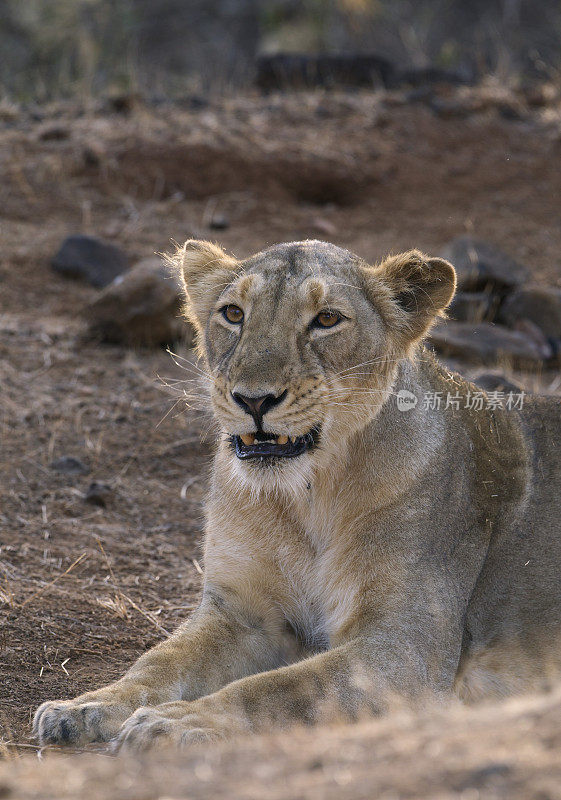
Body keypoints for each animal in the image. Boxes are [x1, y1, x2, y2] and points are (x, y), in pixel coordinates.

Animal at [32, 238, 560, 752]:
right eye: (233, 313)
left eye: (326, 319)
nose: (254, 400)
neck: (308, 496)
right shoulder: (241, 612)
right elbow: (160, 660)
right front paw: (86, 706)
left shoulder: (405, 645)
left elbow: (280, 688)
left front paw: (177, 721)